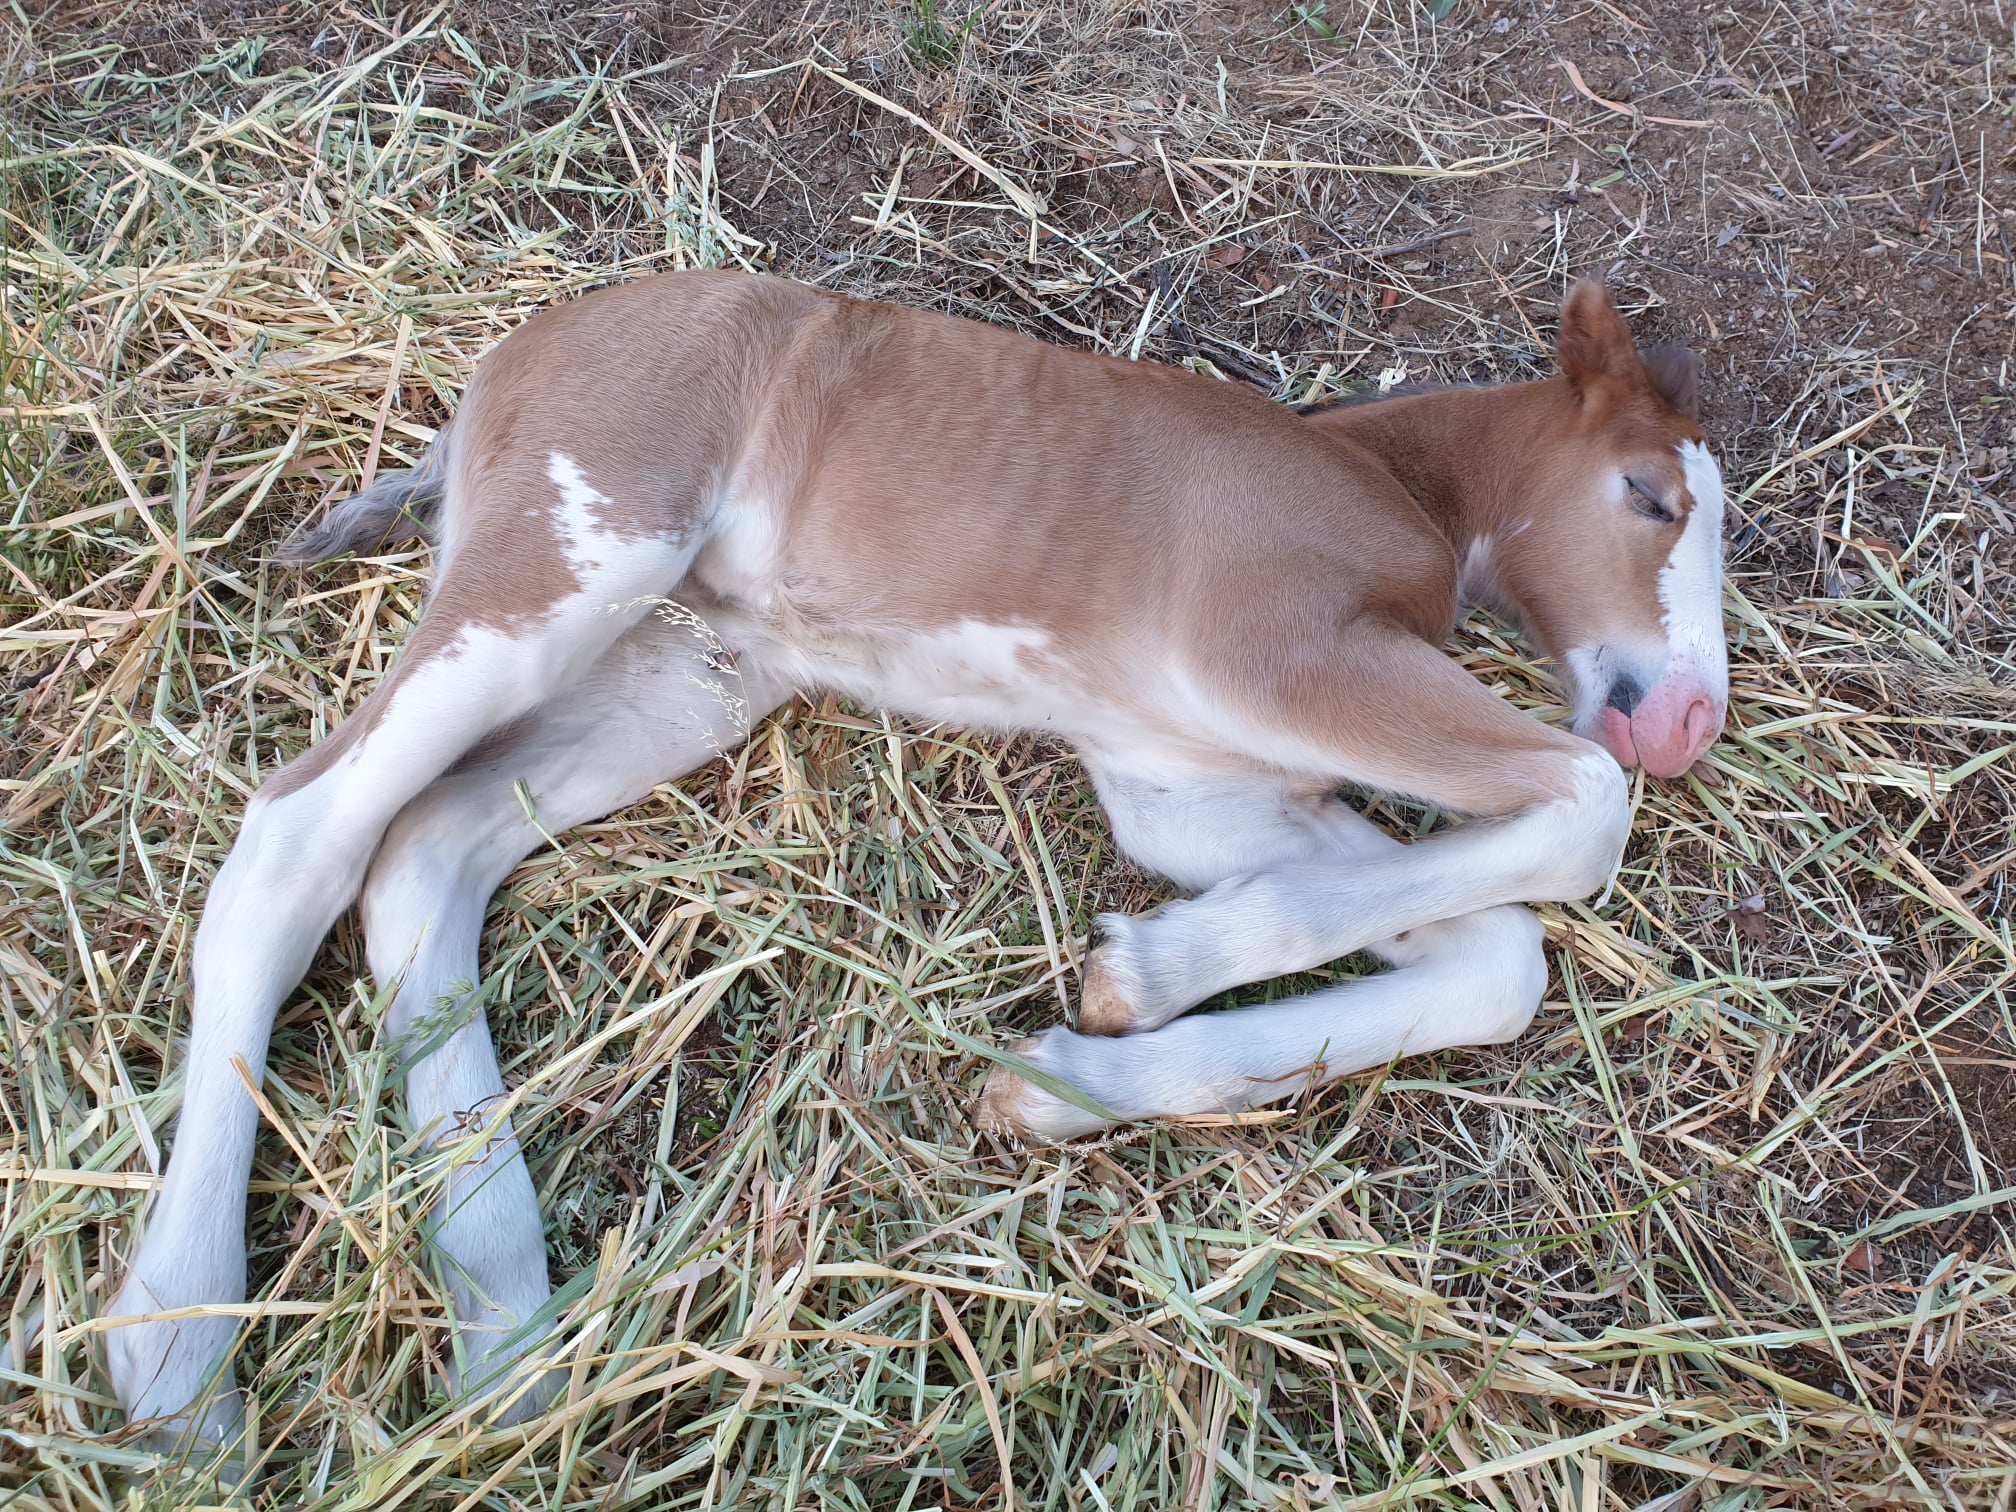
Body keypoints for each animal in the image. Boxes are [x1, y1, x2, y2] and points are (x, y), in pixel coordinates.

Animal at [102, 270, 1725, 1443]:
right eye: (1650, 497)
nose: (1691, 719)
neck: (1386, 486)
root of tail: (511, 362)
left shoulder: (1187, 787)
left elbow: (1495, 955)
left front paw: (1083, 1065)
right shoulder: (1281, 655)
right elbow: (1580, 809)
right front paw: (1141, 977)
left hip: (690, 673)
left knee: (427, 848)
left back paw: (504, 1326)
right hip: (570, 563)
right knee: (299, 833)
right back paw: (177, 1362)